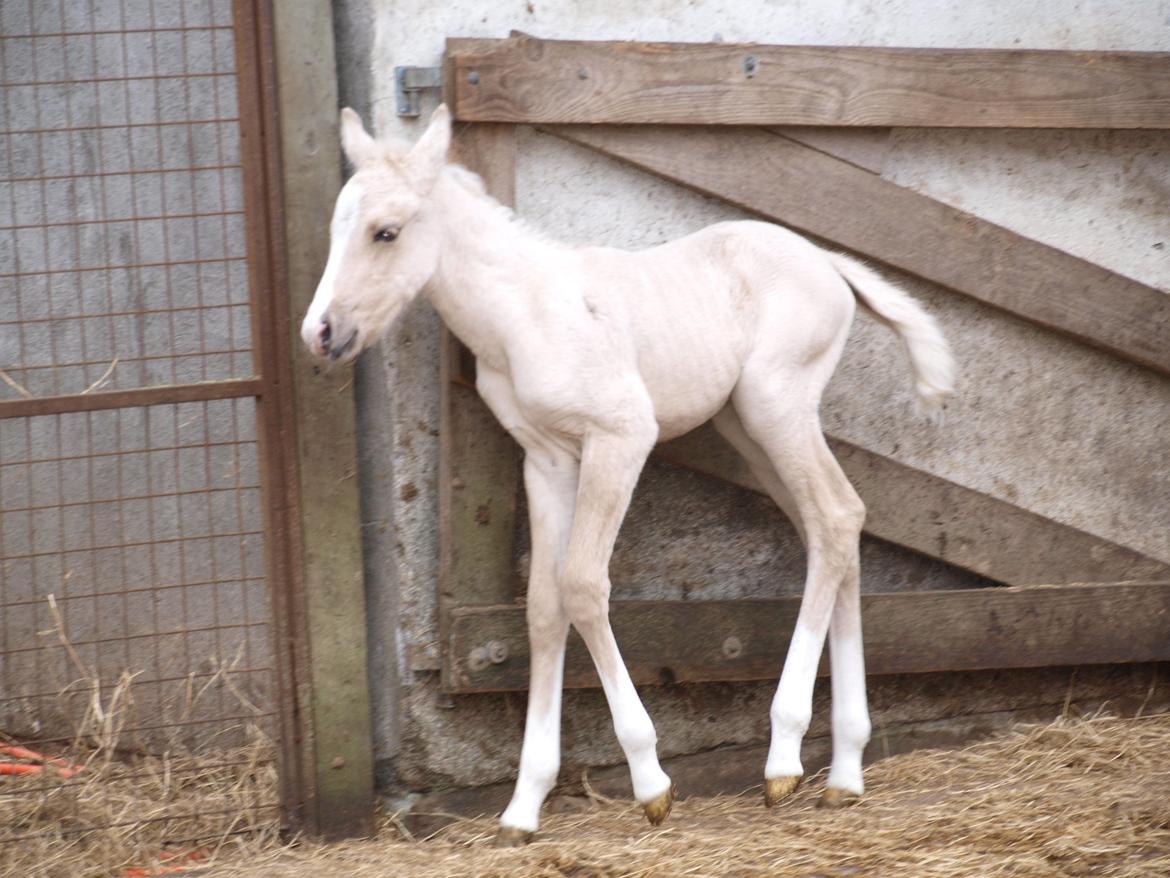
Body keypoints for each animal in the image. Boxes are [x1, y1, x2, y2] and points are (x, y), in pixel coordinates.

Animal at [304, 104, 959, 847]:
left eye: (385, 231)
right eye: (337, 226)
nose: (320, 332)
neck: (524, 313)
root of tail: (830, 262)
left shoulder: (620, 437)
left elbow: (583, 587)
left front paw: (650, 782)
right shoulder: (547, 458)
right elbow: (543, 607)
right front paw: (522, 807)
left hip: (777, 404)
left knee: (832, 518)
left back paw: (784, 760)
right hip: (748, 423)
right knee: (840, 523)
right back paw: (845, 772)